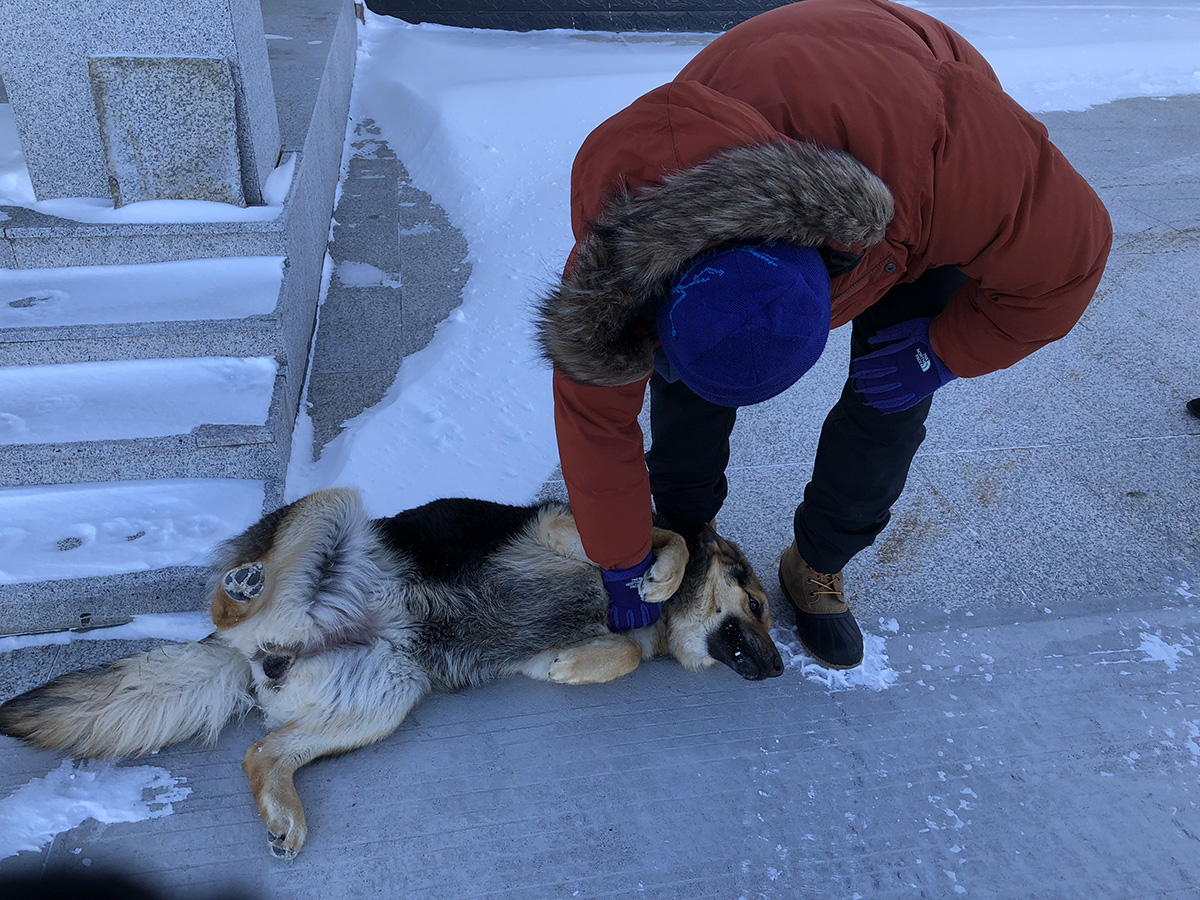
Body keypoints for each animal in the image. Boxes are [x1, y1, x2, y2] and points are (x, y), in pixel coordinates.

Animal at [0, 489, 787, 864]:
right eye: (756, 604)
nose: (782, 667)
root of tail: (268, 647)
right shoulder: (571, 531)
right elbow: (673, 539)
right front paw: (660, 576)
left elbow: (620, 652)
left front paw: (581, 665)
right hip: (332, 515)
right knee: (227, 603)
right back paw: (245, 581)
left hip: (385, 698)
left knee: (262, 751)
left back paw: (284, 812)